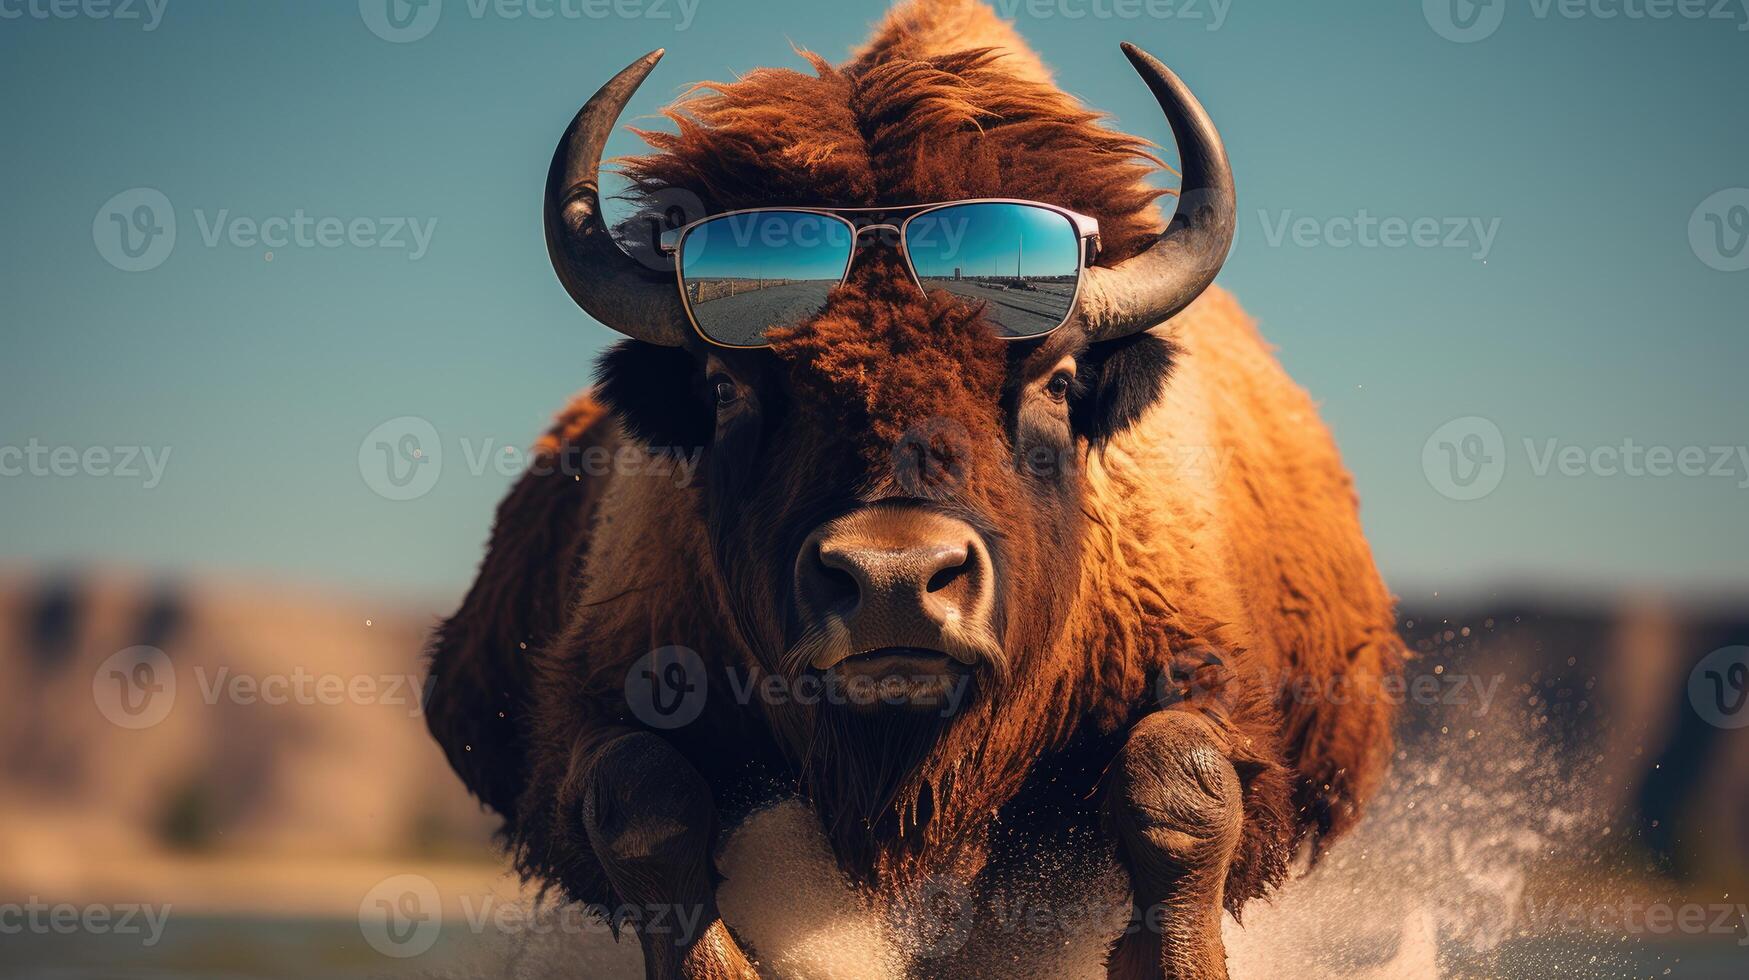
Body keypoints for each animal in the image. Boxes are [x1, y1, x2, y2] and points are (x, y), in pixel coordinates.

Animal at [426, 3, 1406, 973]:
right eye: (725, 387)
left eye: (1058, 381)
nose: (892, 582)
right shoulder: (596, 704)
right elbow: (639, 803)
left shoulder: (1210, 689)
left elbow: (1179, 789)